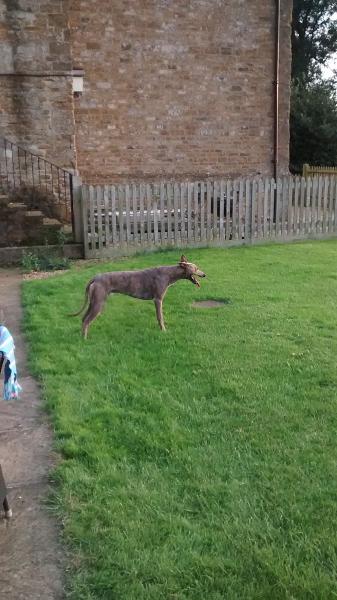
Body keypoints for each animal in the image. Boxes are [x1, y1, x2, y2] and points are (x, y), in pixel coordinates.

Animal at [71, 254, 205, 338]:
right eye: (196, 268)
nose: (205, 274)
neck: (169, 273)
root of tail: (95, 277)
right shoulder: (158, 299)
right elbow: (160, 317)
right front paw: (163, 331)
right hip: (98, 303)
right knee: (86, 321)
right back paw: (84, 339)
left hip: (93, 301)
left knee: (83, 319)